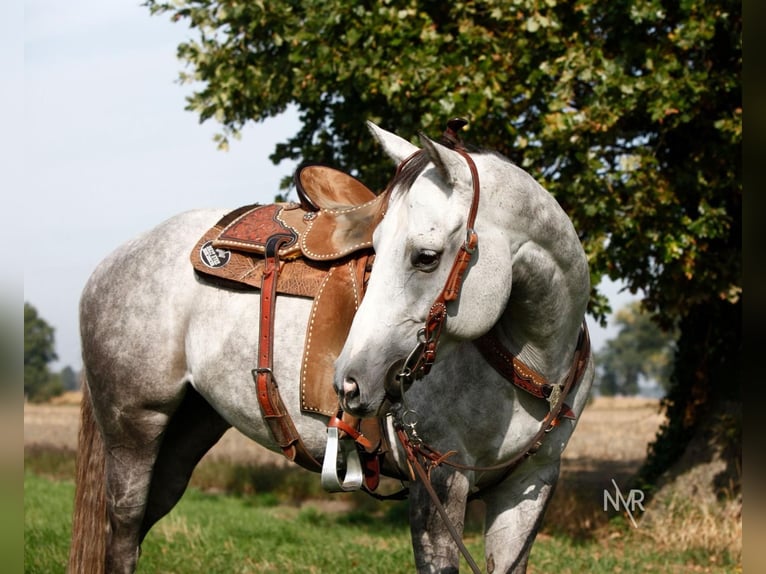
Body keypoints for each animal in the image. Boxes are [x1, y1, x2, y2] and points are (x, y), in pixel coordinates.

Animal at [68, 121, 594, 574]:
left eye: (426, 257)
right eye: (376, 247)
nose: (351, 381)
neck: (529, 361)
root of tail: (109, 263)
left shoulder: (531, 484)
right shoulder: (439, 480)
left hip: (187, 434)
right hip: (135, 430)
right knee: (123, 536)